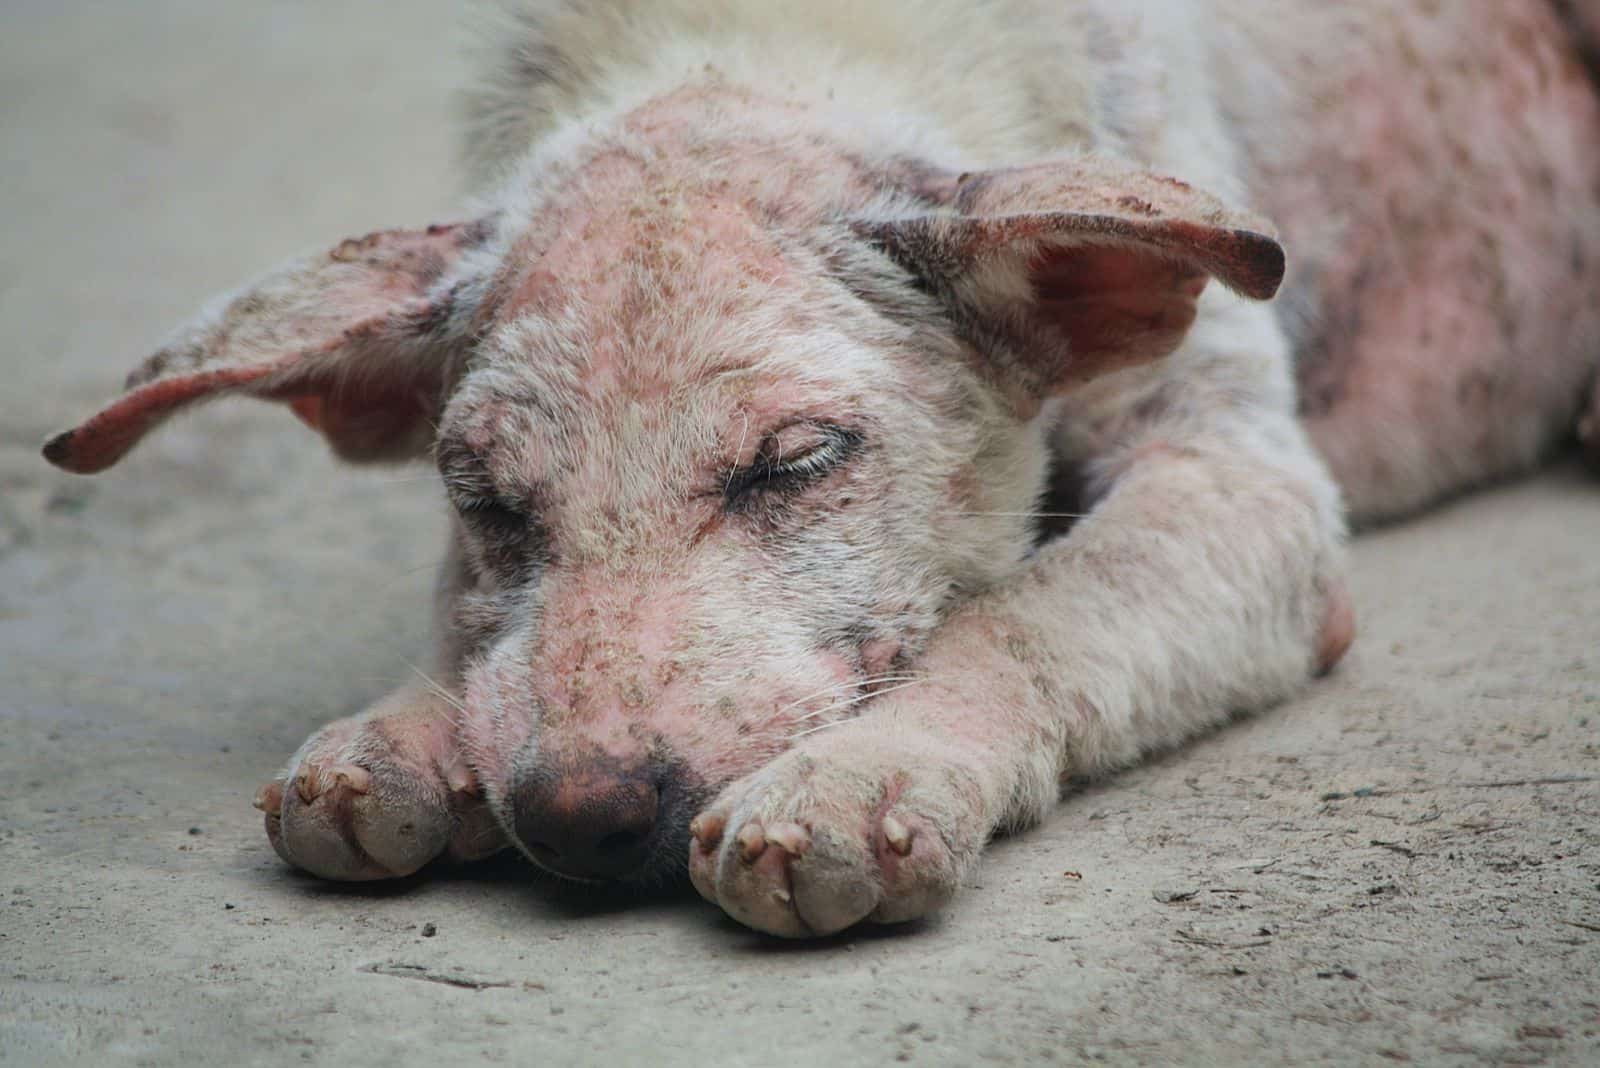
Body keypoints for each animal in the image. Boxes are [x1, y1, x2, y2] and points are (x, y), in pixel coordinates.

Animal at [40, 0, 1600, 933]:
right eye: (484, 499)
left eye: (796, 464)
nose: (580, 827)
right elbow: (467, 637)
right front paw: (399, 737)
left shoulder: (1238, 473)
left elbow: (1024, 615)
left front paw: (853, 785)